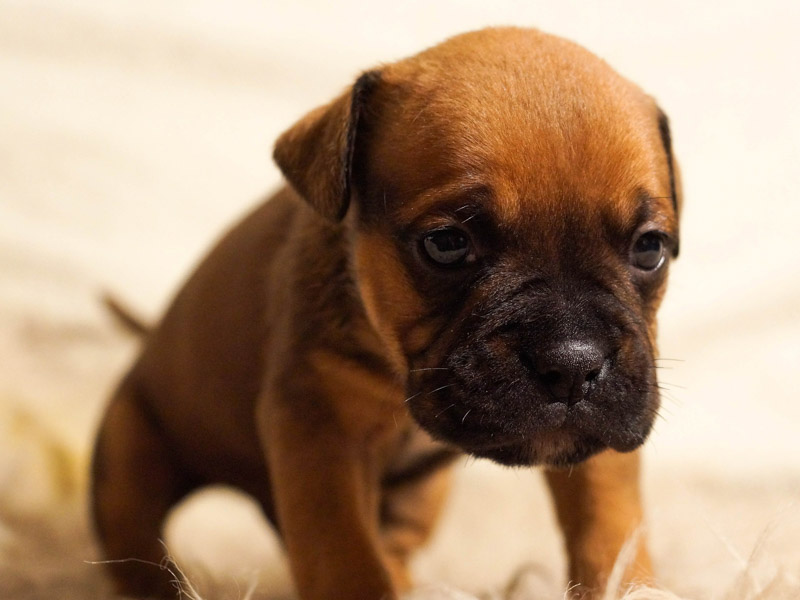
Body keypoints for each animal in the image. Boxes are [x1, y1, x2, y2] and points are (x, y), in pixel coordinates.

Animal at [94, 27, 680, 600]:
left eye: (649, 248)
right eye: (446, 243)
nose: (573, 363)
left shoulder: (600, 444)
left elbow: (609, 533)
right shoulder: (319, 434)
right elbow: (346, 562)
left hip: (422, 494)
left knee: (395, 542)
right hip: (128, 455)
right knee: (136, 545)